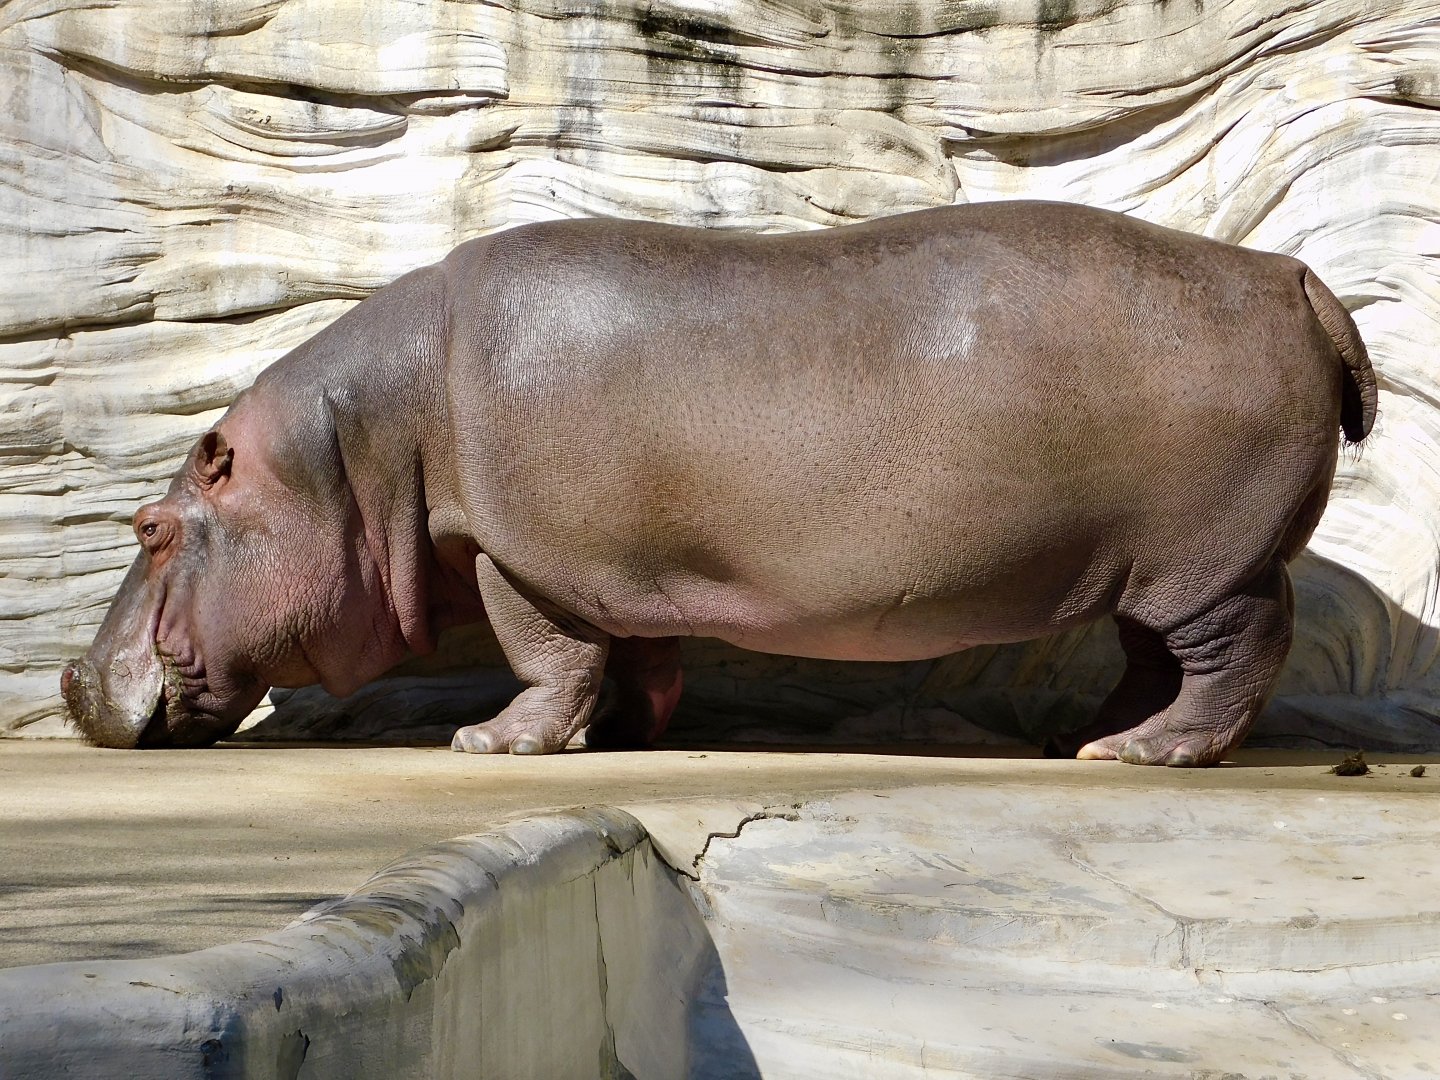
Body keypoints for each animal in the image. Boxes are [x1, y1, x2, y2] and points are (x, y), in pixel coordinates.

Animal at [61, 200, 1375, 765]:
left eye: (150, 525)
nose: (71, 680)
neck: (359, 450)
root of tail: (1293, 276)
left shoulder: (517, 555)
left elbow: (544, 653)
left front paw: (492, 744)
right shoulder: (609, 568)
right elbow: (635, 657)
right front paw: (618, 736)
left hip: (1206, 563)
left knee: (1239, 651)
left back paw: (1144, 757)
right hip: (1143, 562)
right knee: (1158, 657)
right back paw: (1089, 737)